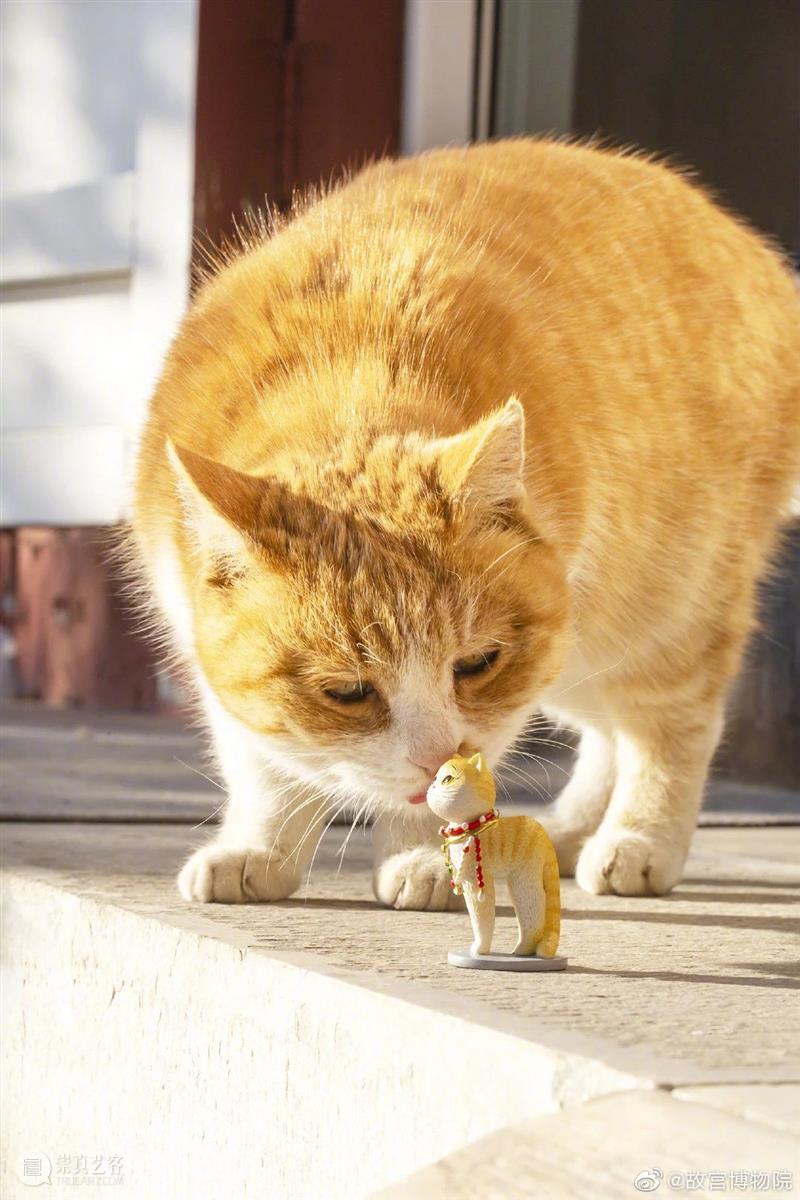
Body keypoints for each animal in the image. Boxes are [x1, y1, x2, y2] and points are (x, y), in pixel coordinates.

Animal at [133, 138, 800, 902]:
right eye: (347, 692)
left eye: (477, 663)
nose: (433, 758)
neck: (348, 374)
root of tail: (756, 256)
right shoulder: (208, 652)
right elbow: (269, 768)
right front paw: (260, 850)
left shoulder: (507, 696)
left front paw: (426, 857)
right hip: (579, 658)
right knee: (611, 734)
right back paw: (569, 833)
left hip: (655, 615)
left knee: (668, 725)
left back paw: (636, 841)